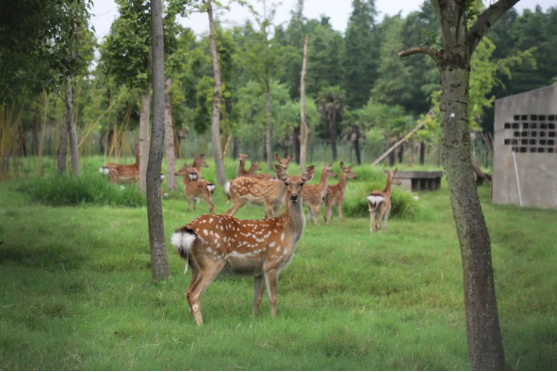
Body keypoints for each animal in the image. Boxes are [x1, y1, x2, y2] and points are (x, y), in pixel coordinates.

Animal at [172, 164, 314, 324]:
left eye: (302, 183)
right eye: (286, 182)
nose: (294, 196)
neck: (289, 231)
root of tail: (187, 230)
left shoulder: (259, 270)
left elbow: (257, 298)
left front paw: (253, 318)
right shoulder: (272, 263)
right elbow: (273, 297)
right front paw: (274, 320)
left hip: (195, 265)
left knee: (188, 292)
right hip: (212, 259)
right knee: (195, 294)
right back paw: (200, 324)